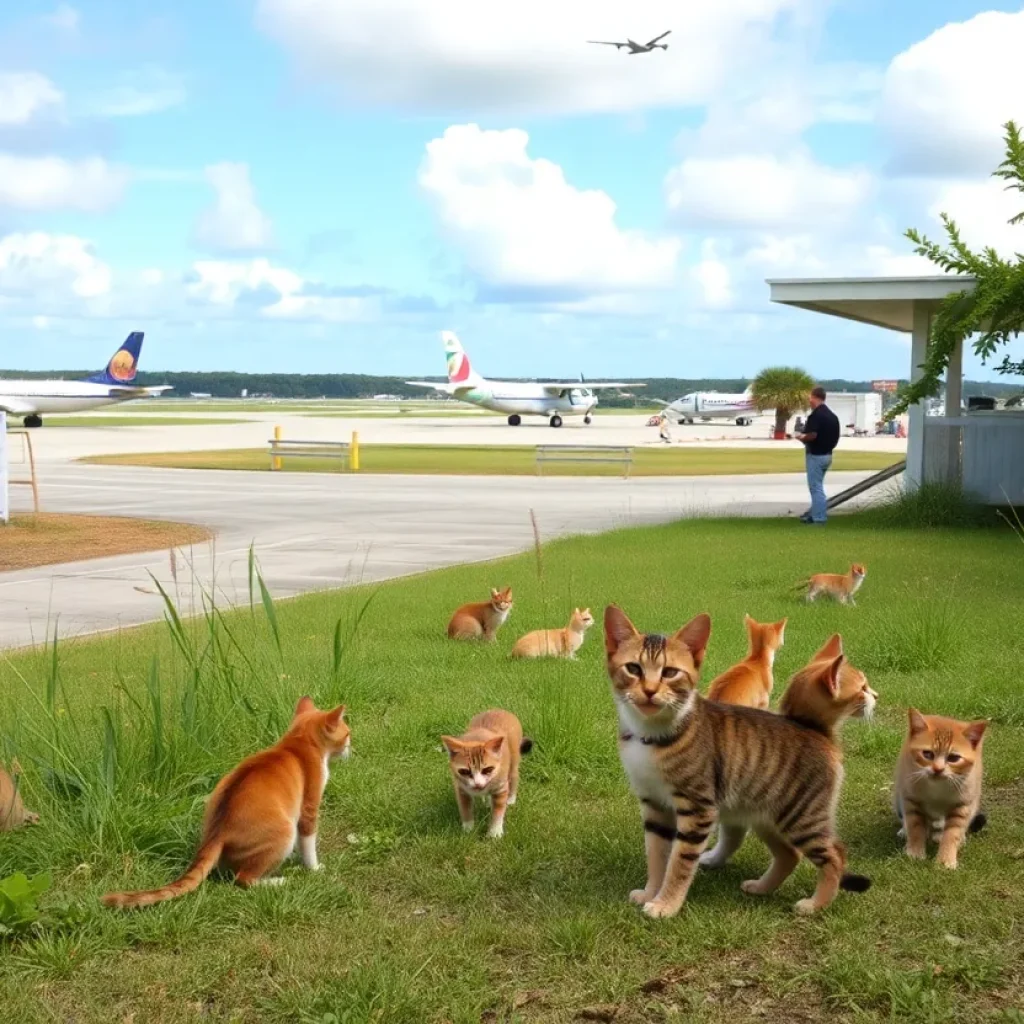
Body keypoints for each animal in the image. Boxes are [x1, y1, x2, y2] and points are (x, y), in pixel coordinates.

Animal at [102, 696, 352, 913]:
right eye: (348, 734)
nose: (352, 748)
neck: (296, 742)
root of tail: (217, 834)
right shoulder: (308, 807)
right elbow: (308, 842)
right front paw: (314, 868)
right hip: (284, 830)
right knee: (244, 879)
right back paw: (277, 881)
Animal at [606, 602, 872, 917]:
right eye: (633, 668)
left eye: (670, 672)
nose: (649, 691)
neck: (652, 736)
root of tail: (817, 730)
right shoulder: (654, 804)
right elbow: (657, 856)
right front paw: (651, 892)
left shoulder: (697, 808)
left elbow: (679, 864)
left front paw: (666, 905)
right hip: (767, 815)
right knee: (790, 855)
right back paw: (762, 887)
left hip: (802, 816)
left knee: (835, 855)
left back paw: (816, 904)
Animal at [892, 712, 987, 872]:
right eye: (927, 754)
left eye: (954, 758)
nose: (938, 769)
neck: (937, 789)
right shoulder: (911, 798)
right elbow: (915, 826)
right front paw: (915, 853)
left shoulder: (962, 804)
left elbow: (952, 833)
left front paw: (945, 860)